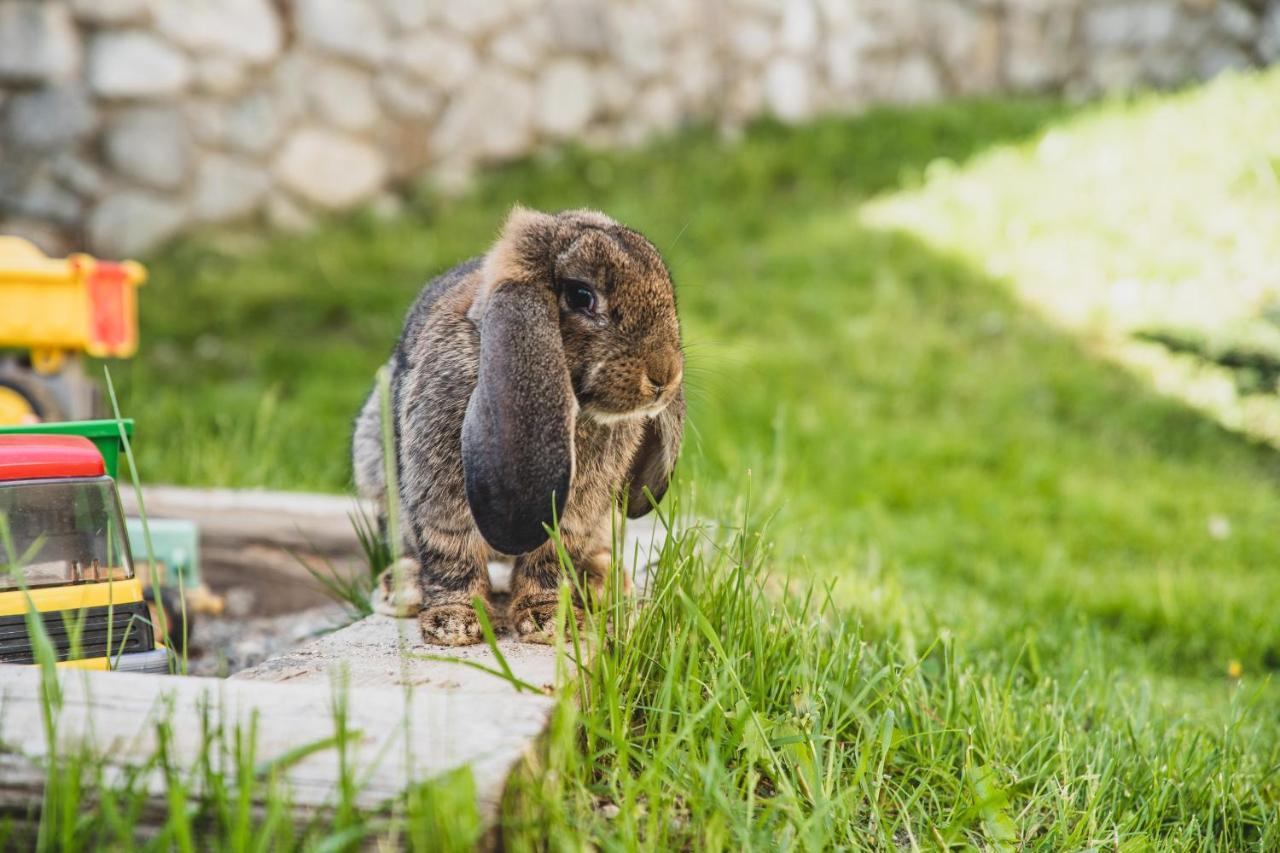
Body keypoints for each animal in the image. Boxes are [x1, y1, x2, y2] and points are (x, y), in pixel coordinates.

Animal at [350, 207, 686, 645]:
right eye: (582, 296)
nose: (665, 376)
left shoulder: (572, 511)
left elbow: (550, 558)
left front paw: (549, 623)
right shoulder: (441, 500)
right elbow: (452, 556)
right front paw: (453, 626)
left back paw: (602, 583)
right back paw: (402, 589)